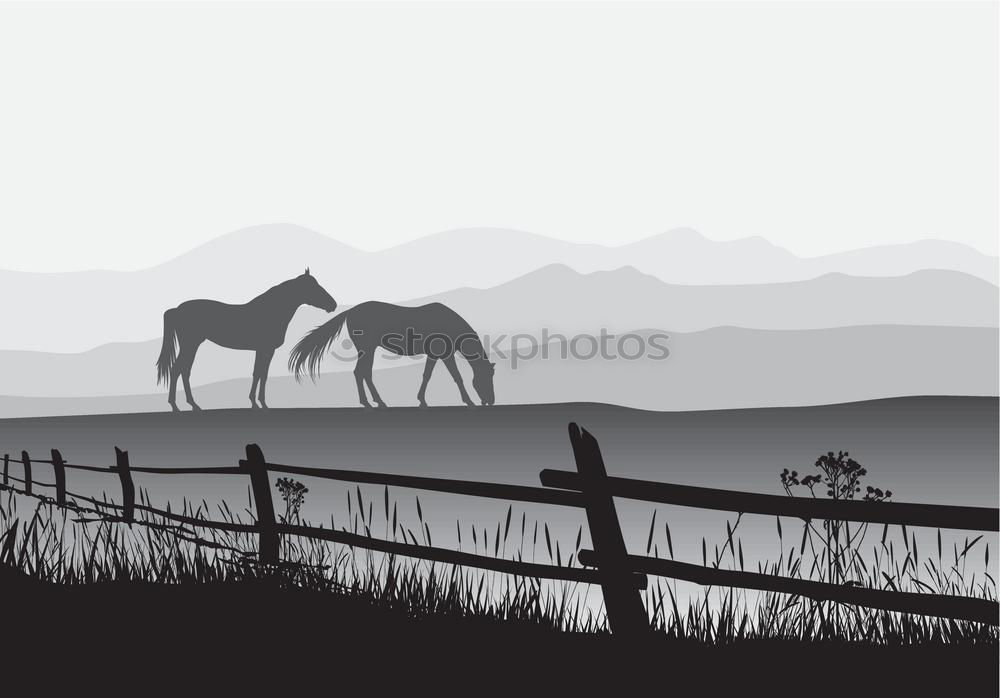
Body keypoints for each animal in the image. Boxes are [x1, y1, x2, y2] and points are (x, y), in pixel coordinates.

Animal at [154, 266, 338, 408]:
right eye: (313, 287)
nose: (333, 304)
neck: (272, 311)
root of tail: (177, 309)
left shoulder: (263, 350)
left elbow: (260, 373)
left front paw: (258, 402)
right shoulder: (265, 349)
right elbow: (260, 374)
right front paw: (259, 403)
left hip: (192, 345)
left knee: (184, 370)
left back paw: (193, 405)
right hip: (190, 344)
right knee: (178, 369)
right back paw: (176, 405)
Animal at [288, 300, 494, 408]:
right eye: (486, 377)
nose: (491, 401)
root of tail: (351, 311)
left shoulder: (433, 355)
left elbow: (426, 375)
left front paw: (422, 400)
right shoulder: (445, 355)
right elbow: (457, 377)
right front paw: (469, 401)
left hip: (367, 350)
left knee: (363, 372)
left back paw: (374, 401)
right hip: (368, 349)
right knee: (362, 372)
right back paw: (373, 402)